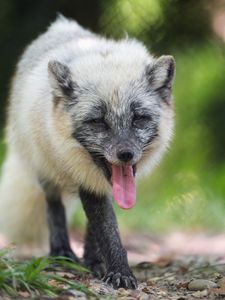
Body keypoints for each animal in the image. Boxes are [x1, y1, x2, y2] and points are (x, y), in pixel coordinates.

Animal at [0, 16, 176, 288]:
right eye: (98, 122)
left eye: (139, 118)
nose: (126, 154)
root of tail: (61, 25)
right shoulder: (86, 180)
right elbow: (106, 230)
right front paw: (119, 272)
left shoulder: (101, 185)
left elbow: (98, 228)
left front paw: (99, 263)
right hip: (44, 168)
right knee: (54, 208)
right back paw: (61, 253)